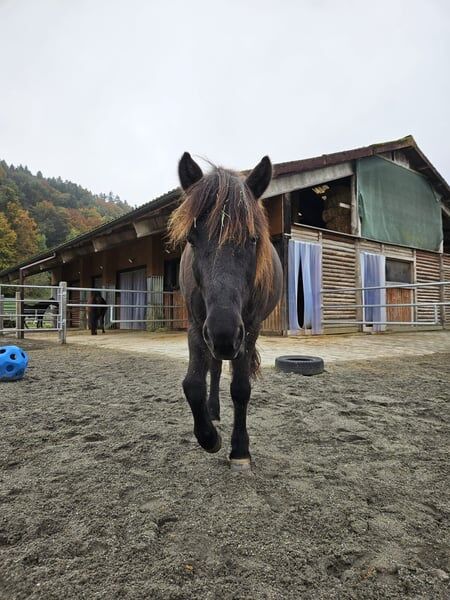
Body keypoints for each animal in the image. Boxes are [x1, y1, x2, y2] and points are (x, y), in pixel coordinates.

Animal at [169, 152, 282, 472]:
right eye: (192, 239)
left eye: (253, 239)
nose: (224, 332)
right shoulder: (198, 326)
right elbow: (193, 383)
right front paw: (209, 437)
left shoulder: (249, 329)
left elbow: (241, 388)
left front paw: (240, 449)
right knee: (216, 368)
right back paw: (213, 412)